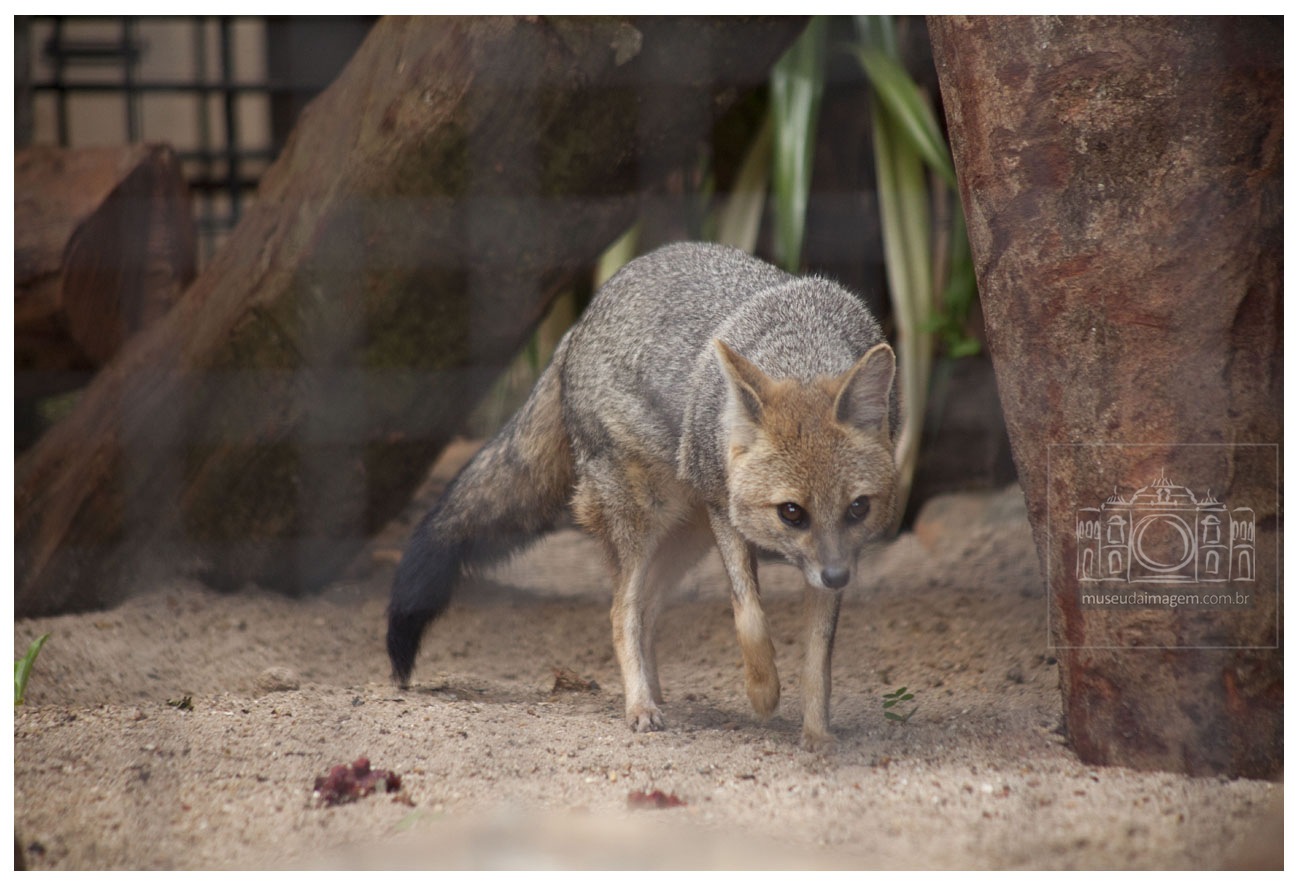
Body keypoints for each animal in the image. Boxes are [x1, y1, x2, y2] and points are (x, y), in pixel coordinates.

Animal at [387, 242, 898, 750]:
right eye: (791, 513)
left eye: (858, 508)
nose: (837, 577)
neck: (802, 346)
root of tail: (582, 319)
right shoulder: (723, 507)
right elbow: (749, 615)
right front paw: (763, 692)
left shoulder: (829, 557)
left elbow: (819, 658)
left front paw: (817, 734)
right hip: (645, 522)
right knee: (622, 612)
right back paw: (640, 706)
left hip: (685, 537)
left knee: (648, 612)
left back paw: (656, 695)